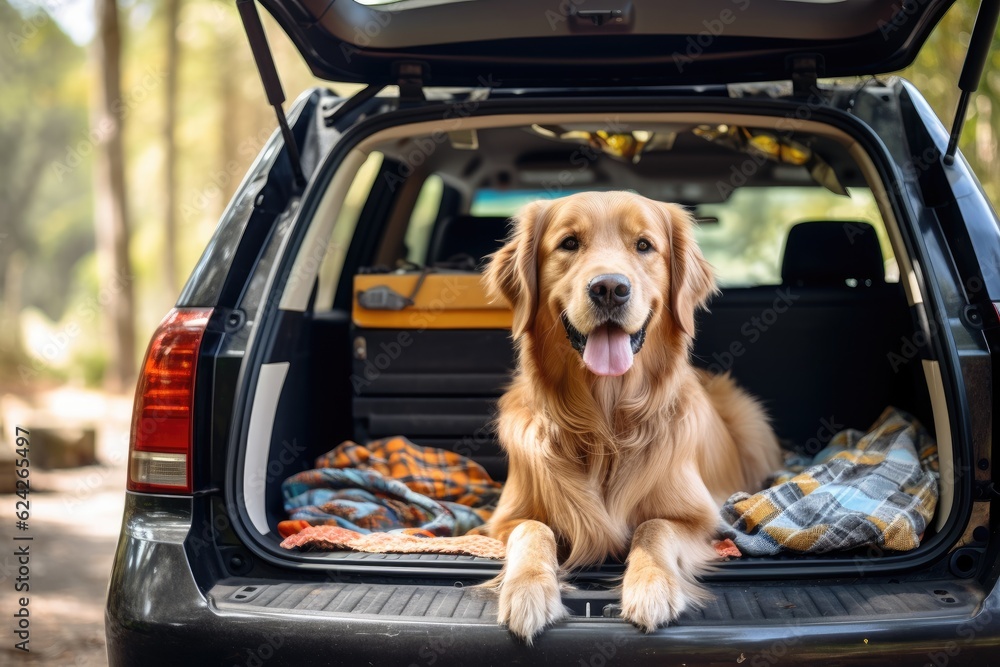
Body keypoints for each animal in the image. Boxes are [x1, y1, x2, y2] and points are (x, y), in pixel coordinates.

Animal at [480, 192, 776, 640]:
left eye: (644, 245)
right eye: (569, 243)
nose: (609, 288)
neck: (606, 427)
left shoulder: (700, 520)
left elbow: (653, 527)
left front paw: (651, 585)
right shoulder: (505, 519)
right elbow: (534, 529)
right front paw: (528, 589)